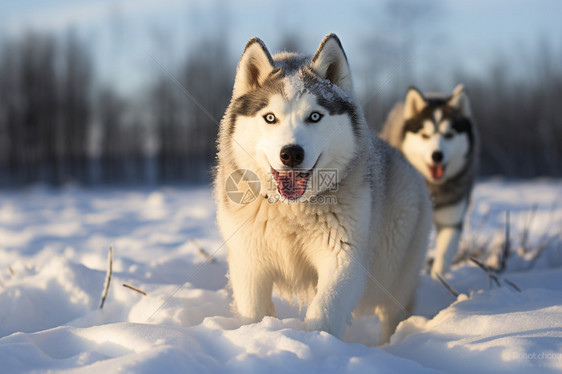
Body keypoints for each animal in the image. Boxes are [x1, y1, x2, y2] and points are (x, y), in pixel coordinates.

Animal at [213, 33, 428, 344]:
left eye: (314, 116)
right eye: (270, 117)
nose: (291, 153)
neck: (290, 212)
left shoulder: (342, 260)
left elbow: (324, 310)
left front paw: (319, 343)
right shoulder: (250, 264)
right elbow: (253, 312)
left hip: (391, 276)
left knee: (393, 311)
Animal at [378, 85, 474, 278]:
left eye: (449, 135)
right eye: (425, 135)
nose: (437, 155)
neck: (434, 189)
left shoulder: (451, 219)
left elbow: (444, 255)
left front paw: (439, 278)